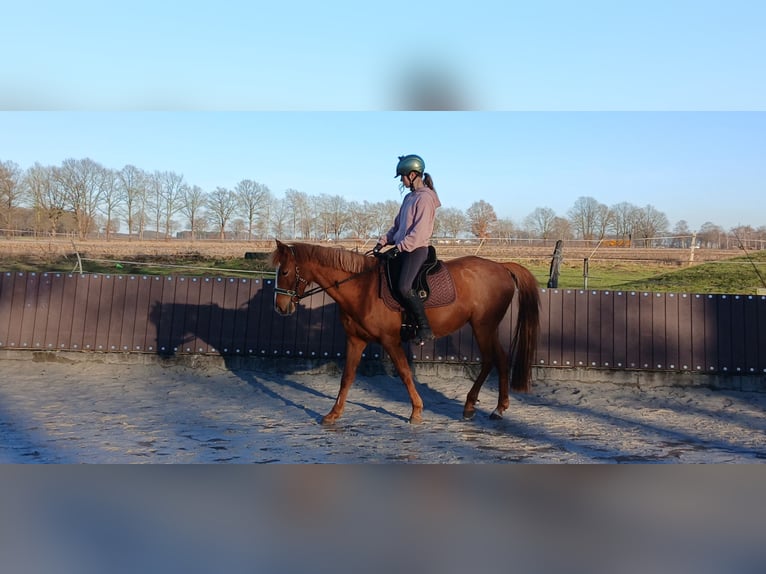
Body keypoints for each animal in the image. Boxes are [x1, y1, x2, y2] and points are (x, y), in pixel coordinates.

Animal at [271, 240, 540, 424]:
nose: (280, 307)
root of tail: (501, 266)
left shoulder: (390, 341)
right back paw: (493, 408)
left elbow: (404, 373)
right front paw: (333, 413)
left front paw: (416, 411)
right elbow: (347, 377)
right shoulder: (356, 340)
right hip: (486, 327)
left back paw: (481, 406)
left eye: (284, 272)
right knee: (500, 359)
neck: (362, 288)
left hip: (483, 326)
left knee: (490, 360)